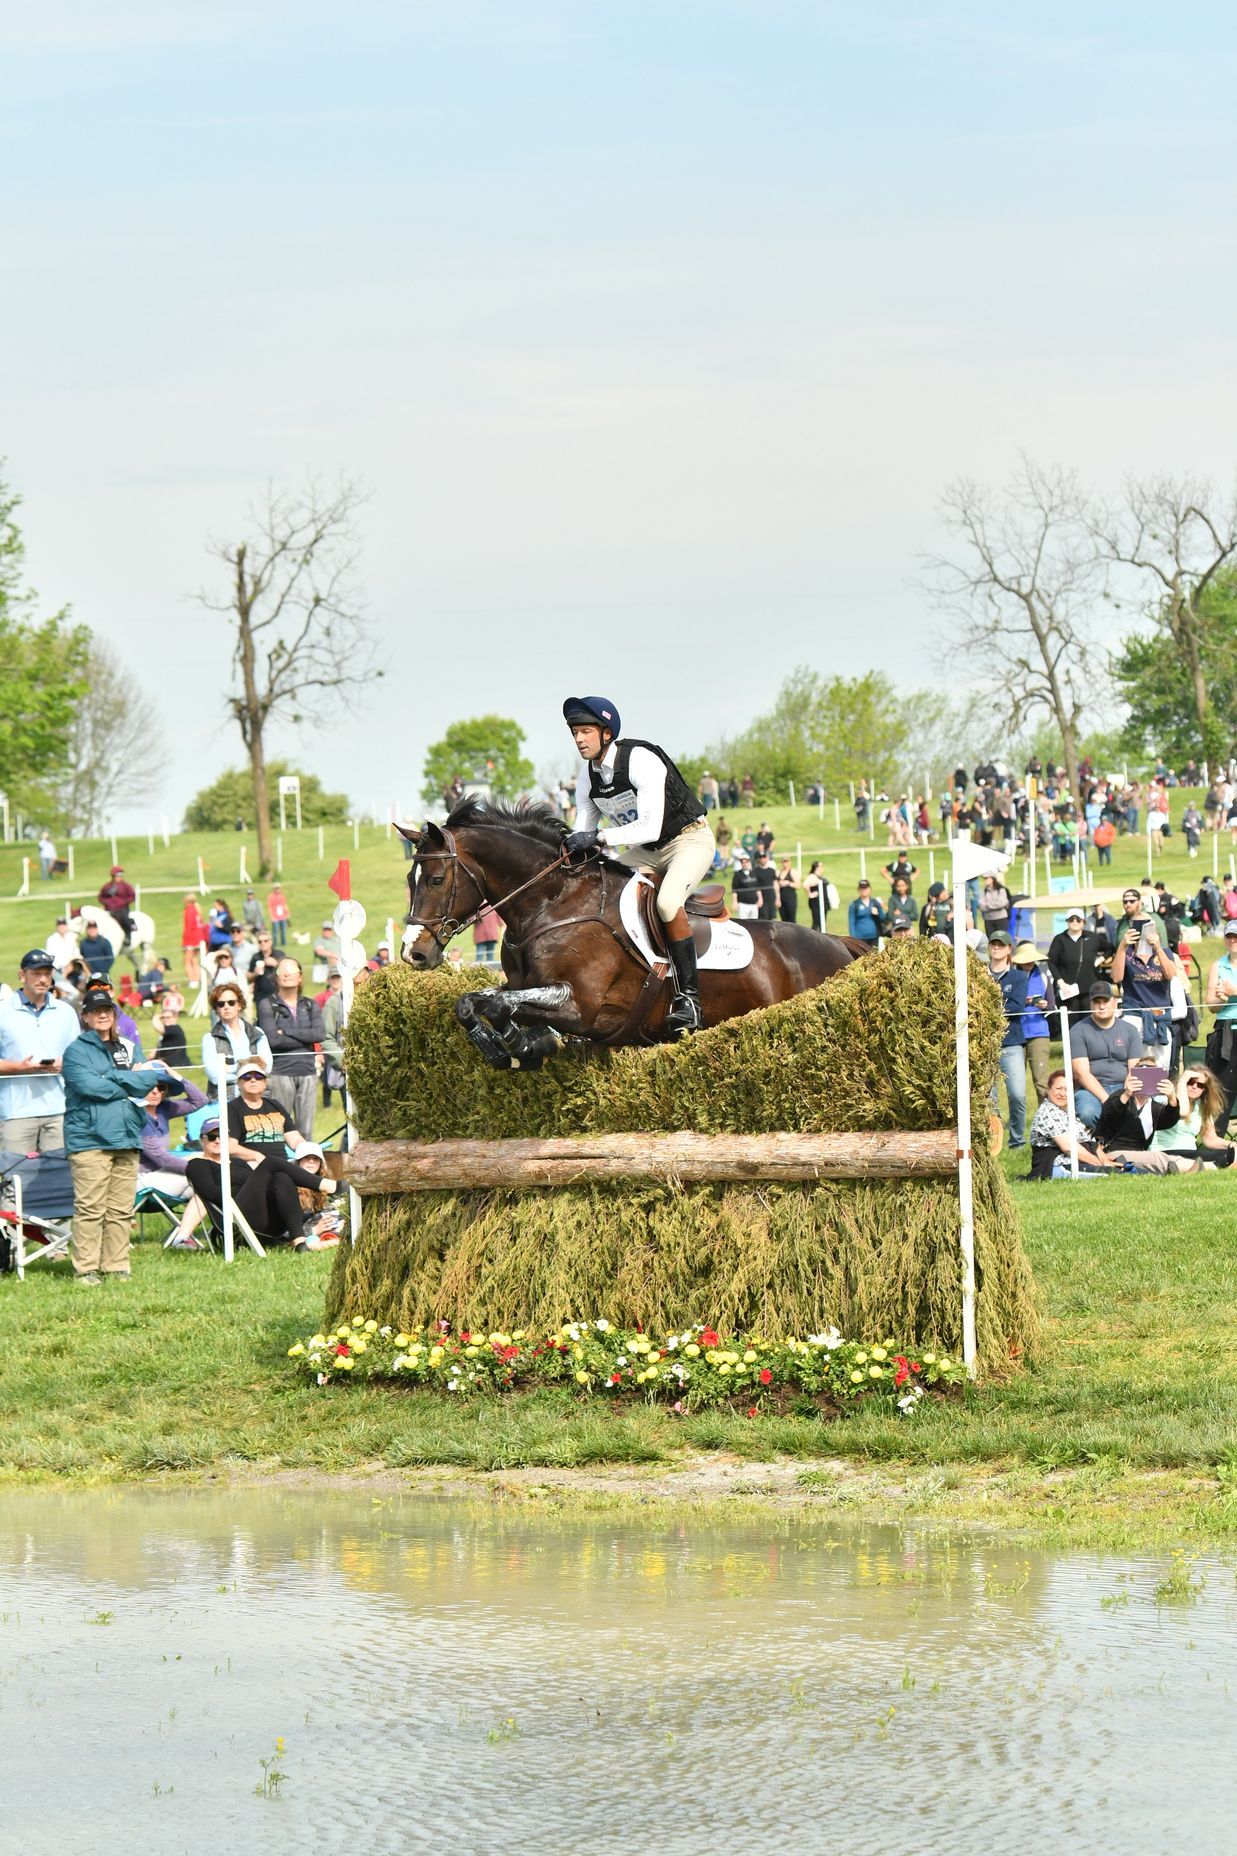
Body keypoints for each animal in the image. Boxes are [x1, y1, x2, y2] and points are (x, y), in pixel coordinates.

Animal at [399, 798, 861, 1076]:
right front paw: (509, 1047)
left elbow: (499, 1006)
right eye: (410, 878)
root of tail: (838, 942)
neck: (551, 901)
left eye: (437, 879)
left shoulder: (581, 1006)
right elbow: (472, 1002)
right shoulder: (524, 986)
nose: (412, 954)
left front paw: (524, 1046)